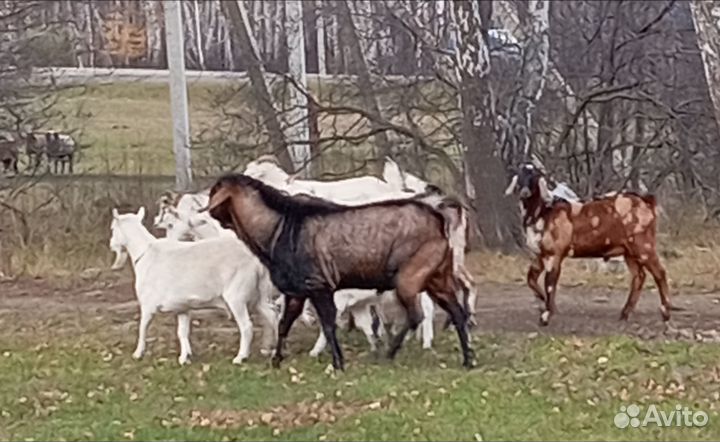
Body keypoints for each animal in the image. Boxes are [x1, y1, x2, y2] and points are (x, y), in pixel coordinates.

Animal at [109, 207, 279, 365]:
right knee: (272, 316)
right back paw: (273, 350)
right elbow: (182, 332)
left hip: (237, 295)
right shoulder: (182, 307)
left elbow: (142, 327)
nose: (111, 245)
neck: (146, 252)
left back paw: (241, 357)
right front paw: (185, 357)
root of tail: (256, 261)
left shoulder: (147, 304)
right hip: (259, 294)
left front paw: (138, 353)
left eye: (112, 228)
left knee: (247, 326)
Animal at [205, 174, 474, 370]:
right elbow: (284, 324)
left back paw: (389, 353)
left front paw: (337, 363)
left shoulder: (318, 285)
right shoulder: (296, 291)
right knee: (457, 312)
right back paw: (468, 359)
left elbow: (328, 324)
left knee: (416, 315)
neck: (278, 227)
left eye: (215, 191)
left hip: (410, 277)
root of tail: (438, 216)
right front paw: (276, 360)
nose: (209, 210)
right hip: (437, 276)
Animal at [505, 163, 674, 325]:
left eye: (534, 176)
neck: (544, 212)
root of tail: (646, 201)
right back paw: (624, 314)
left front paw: (546, 316)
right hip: (629, 252)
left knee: (660, 273)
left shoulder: (553, 254)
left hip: (644, 246)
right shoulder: (539, 255)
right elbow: (531, 279)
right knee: (639, 276)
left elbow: (550, 284)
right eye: (519, 175)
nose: (524, 191)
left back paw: (665, 313)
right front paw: (544, 303)